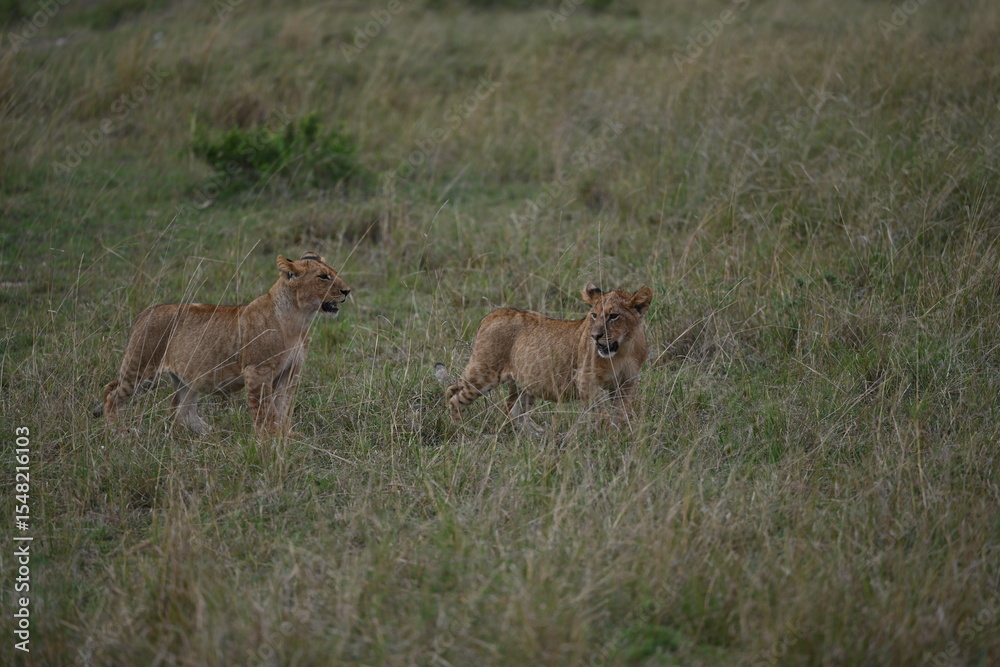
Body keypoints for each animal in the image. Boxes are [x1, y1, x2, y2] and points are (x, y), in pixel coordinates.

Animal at [96, 251, 351, 435]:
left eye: (334, 273)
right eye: (323, 277)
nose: (347, 291)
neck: (299, 319)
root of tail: (145, 312)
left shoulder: (290, 373)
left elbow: (283, 409)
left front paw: (286, 436)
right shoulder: (257, 371)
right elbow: (264, 412)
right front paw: (269, 440)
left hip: (187, 378)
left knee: (181, 410)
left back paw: (211, 434)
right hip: (142, 369)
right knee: (111, 392)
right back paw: (117, 431)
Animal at [436, 283, 653, 429]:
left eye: (614, 316)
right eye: (594, 315)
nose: (595, 335)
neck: (623, 350)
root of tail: (492, 314)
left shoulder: (627, 383)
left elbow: (622, 413)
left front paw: (621, 436)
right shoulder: (585, 380)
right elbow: (602, 412)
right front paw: (607, 435)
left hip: (523, 384)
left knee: (513, 413)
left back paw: (539, 436)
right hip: (484, 372)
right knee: (453, 394)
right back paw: (461, 431)